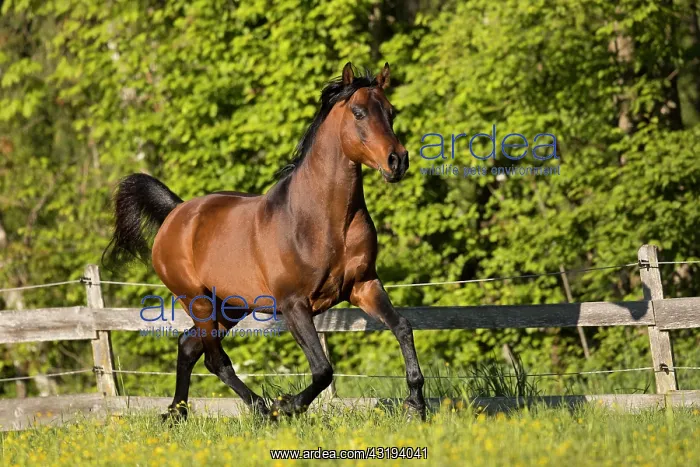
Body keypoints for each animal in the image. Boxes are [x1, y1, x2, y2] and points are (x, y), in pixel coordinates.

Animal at [102, 62, 426, 421]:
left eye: (391, 111)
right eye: (358, 112)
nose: (398, 161)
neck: (324, 222)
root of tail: (176, 213)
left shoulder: (364, 285)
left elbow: (402, 327)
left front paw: (415, 404)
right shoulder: (294, 304)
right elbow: (322, 369)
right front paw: (287, 405)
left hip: (230, 306)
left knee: (188, 346)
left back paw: (178, 413)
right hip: (198, 301)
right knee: (215, 359)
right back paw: (260, 409)